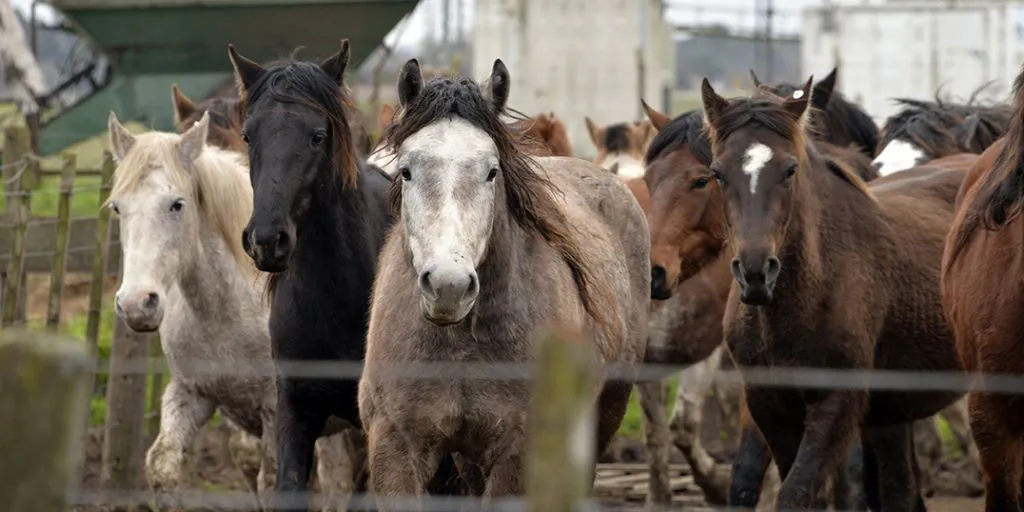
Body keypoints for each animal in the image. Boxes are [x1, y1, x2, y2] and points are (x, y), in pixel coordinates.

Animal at [106, 111, 280, 507]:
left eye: (177, 204)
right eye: (117, 207)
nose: (136, 304)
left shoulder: (275, 405)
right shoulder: (190, 394)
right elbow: (162, 465)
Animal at [358, 58, 649, 506]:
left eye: (491, 171)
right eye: (405, 171)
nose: (448, 287)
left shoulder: (517, 456)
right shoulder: (395, 449)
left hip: (605, 412)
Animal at [701, 76, 966, 509]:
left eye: (790, 169)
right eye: (717, 173)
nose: (755, 272)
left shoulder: (837, 405)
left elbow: (796, 492)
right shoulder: (769, 405)